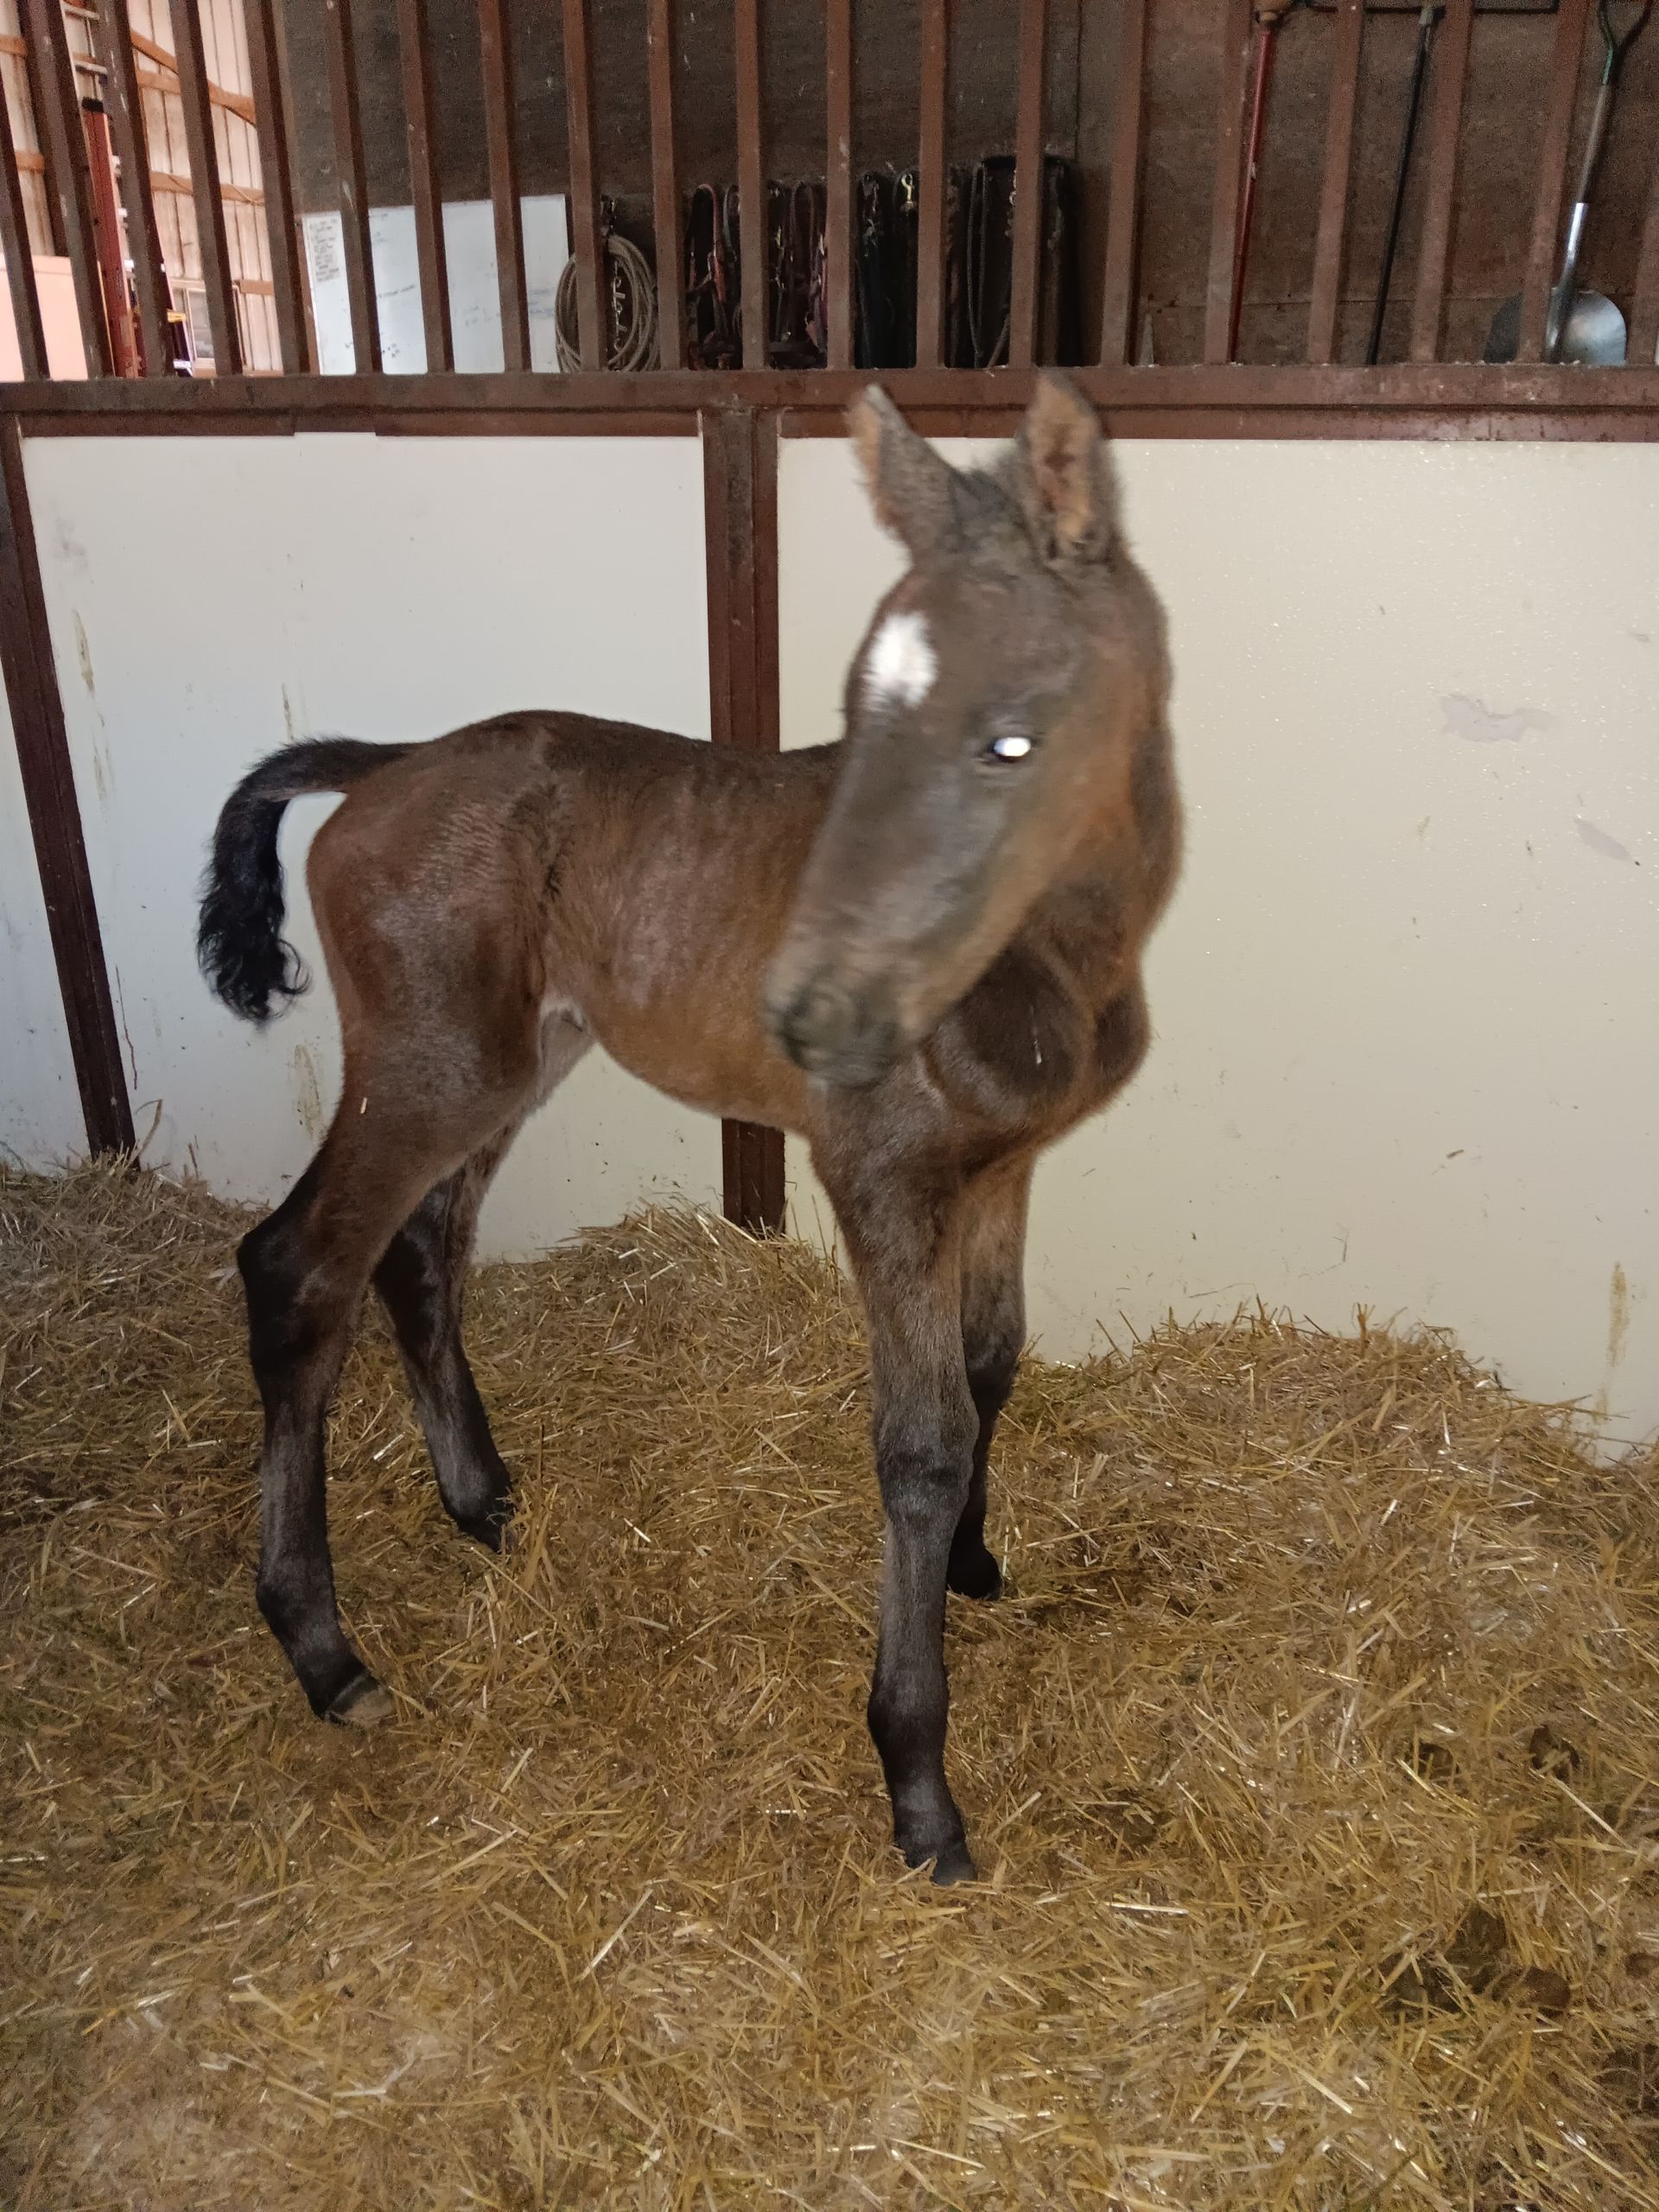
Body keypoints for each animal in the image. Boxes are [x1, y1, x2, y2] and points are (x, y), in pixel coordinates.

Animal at [197, 373, 1180, 1883]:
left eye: (1008, 735)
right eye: (860, 713)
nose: (818, 1014)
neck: (1049, 958)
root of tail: (390, 764)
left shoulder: (1001, 1167)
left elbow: (994, 1361)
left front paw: (972, 1564)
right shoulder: (880, 1175)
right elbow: (920, 1438)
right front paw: (919, 1790)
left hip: (509, 1063)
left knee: (424, 1250)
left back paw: (483, 1503)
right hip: (431, 1067)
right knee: (300, 1268)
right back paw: (324, 1649)